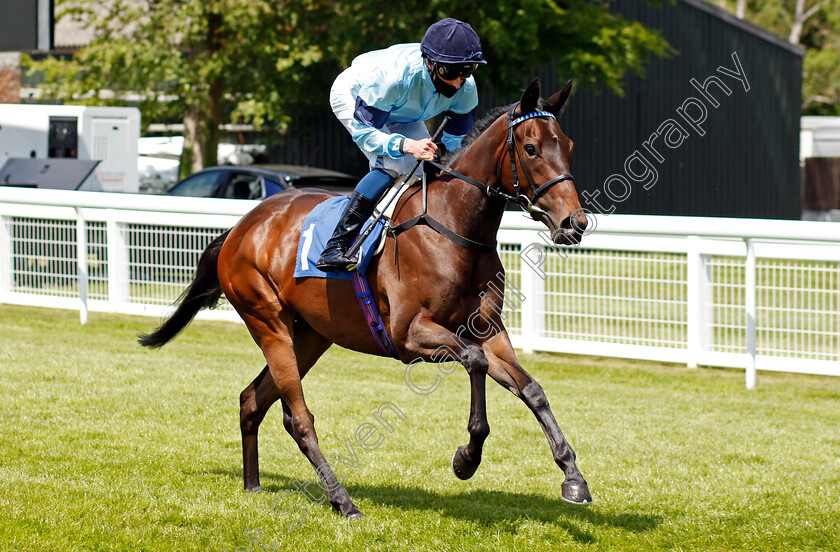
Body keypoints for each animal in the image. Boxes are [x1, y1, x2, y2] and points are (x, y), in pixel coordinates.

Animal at [139, 78, 592, 520]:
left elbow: (530, 388)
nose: (576, 223)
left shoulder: (488, 330)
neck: (453, 229)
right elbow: (474, 362)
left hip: (312, 335)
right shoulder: (410, 335)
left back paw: (254, 485)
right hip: (268, 322)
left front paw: (573, 477)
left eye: (569, 146)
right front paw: (467, 457)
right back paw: (342, 500)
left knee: (253, 399)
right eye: (531, 148)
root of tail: (239, 227)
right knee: (299, 417)